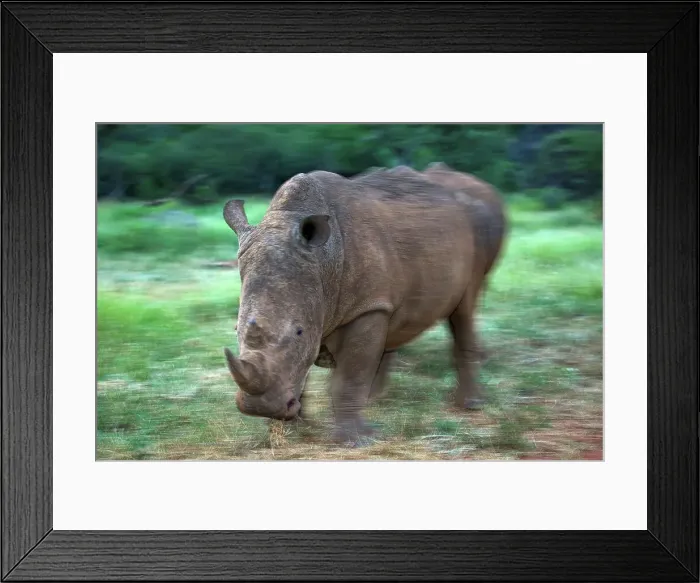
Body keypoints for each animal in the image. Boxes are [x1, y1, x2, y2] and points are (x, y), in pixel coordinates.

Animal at [222, 163, 507, 445]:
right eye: (236, 330)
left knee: (465, 309)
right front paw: (293, 430)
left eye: (299, 332)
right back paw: (375, 399)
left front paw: (356, 441)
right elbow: (306, 370)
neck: (323, 261)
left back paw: (470, 405)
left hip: (477, 233)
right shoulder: (322, 302)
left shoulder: (367, 307)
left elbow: (350, 376)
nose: (257, 408)